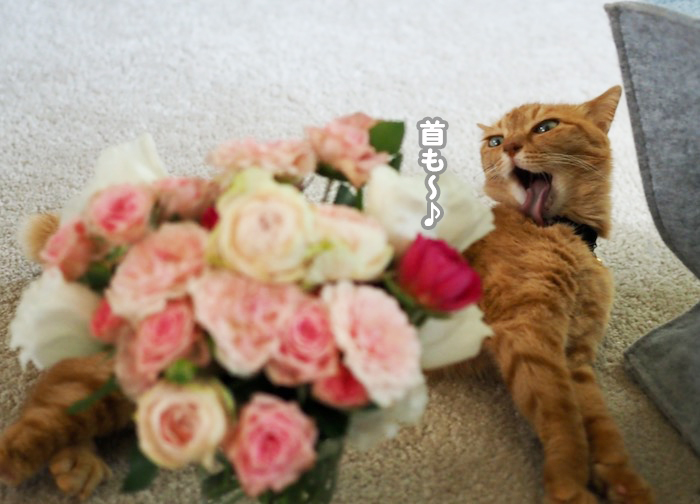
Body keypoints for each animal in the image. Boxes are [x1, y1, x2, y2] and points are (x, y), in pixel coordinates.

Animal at [456, 86, 653, 503]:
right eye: (495, 141)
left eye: (545, 127)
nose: (510, 146)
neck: (569, 234)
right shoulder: (529, 332)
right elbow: (561, 414)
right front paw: (569, 487)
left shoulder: (576, 355)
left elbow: (598, 421)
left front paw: (623, 481)